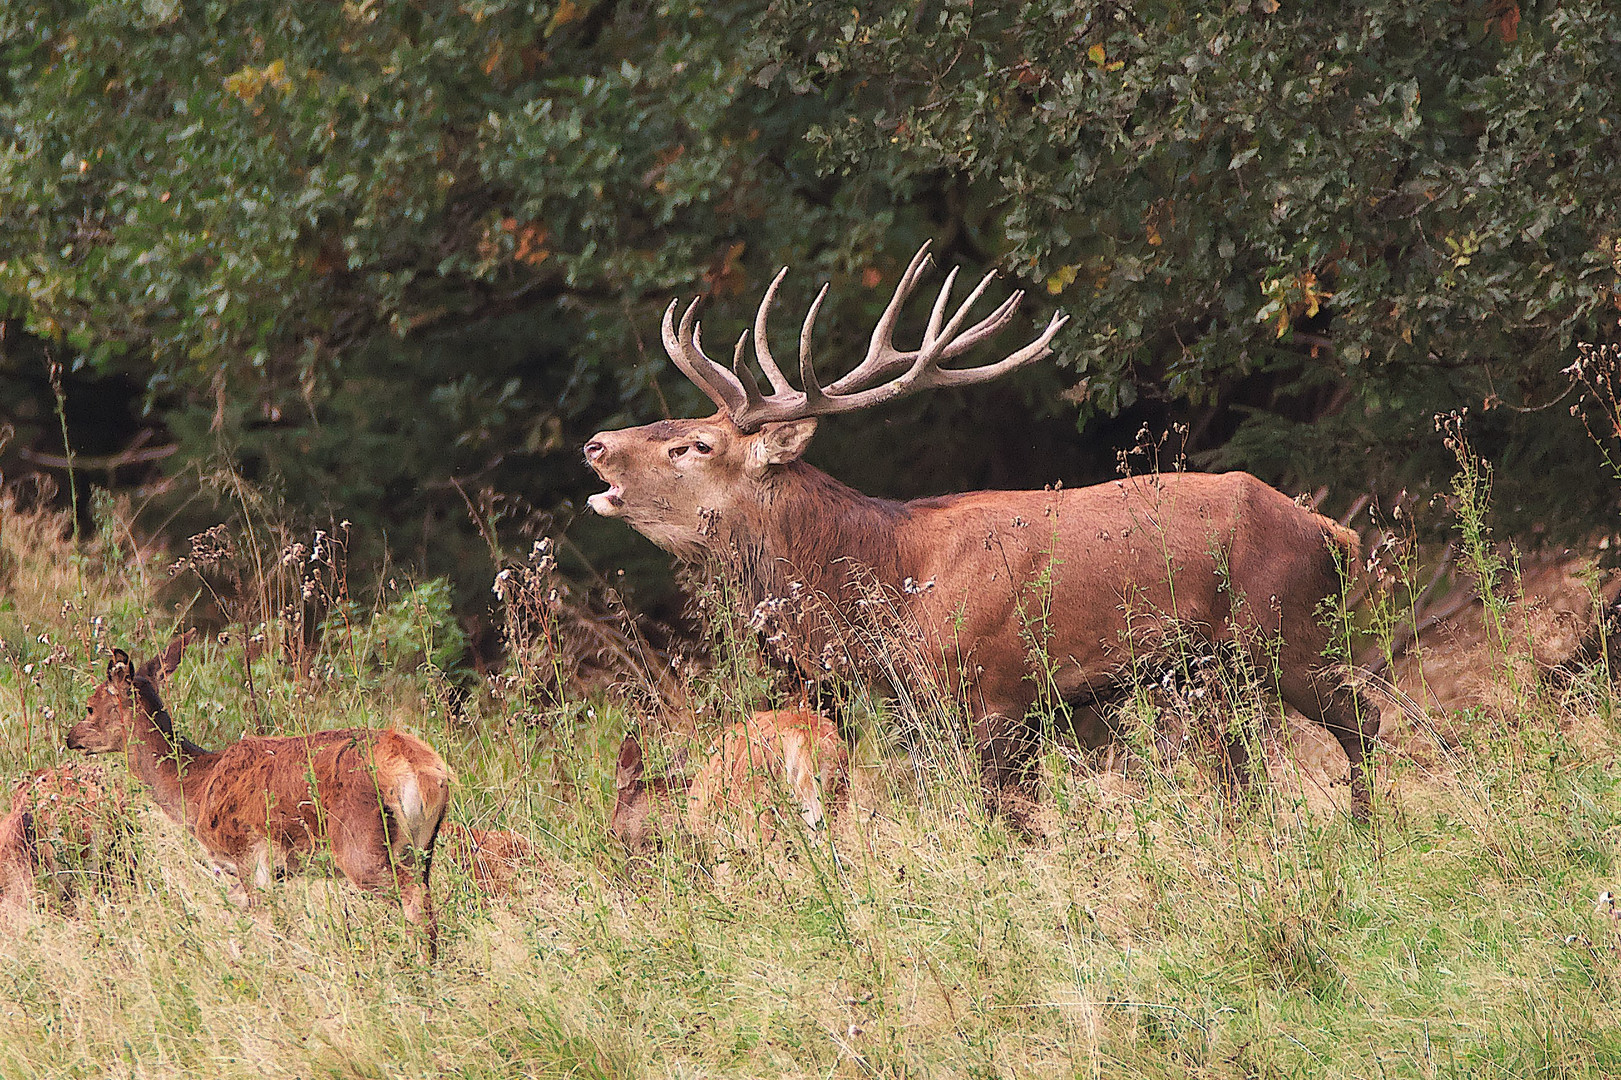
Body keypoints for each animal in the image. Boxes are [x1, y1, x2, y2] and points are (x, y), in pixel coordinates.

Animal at [66, 632, 453, 953]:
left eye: (89, 705)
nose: (71, 738)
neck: (195, 789)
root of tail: (425, 770)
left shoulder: (248, 854)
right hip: (422, 847)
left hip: (361, 844)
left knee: (413, 900)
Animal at [583, 241, 1381, 817]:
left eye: (695, 445)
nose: (595, 444)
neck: (890, 591)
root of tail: (1333, 534)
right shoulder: (923, 712)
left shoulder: (1000, 693)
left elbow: (1001, 819)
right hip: (1213, 668)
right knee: (1241, 766)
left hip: (1283, 630)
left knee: (1360, 723)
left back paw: (1367, 834)